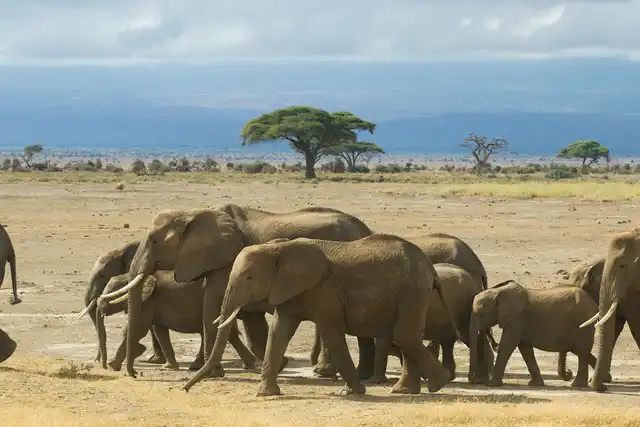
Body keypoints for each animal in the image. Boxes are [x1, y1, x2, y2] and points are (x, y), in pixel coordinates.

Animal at [96, 271, 256, 372]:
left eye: (112, 294)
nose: (102, 365)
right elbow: (159, 330)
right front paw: (168, 367)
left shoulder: (149, 300)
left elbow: (138, 328)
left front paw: (112, 366)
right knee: (227, 334)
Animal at [182, 234, 460, 397]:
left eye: (249, 278)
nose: (185, 388)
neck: (279, 247)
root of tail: (430, 267)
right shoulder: (291, 291)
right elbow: (278, 333)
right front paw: (266, 394)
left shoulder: (324, 290)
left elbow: (332, 333)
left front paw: (352, 393)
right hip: (413, 292)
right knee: (409, 335)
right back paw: (407, 391)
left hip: (411, 291)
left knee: (404, 334)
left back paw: (438, 383)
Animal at [470, 280, 598, 388]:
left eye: (481, 314)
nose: (474, 381)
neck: (498, 292)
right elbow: (525, 349)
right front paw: (535, 384)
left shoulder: (517, 318)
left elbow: (507, 345)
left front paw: (492, 384)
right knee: (580, 350)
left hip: (583, 323)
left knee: (581, 350)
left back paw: (578, 385)